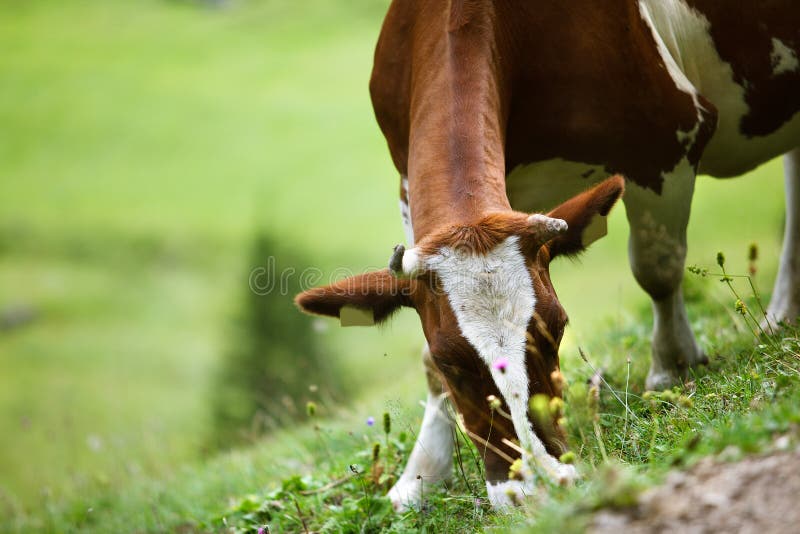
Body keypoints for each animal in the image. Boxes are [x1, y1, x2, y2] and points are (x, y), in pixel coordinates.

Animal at [295, 0, 800, 510]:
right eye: (450, 361)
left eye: (557, 329)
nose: (539, 486)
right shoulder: (409, 192)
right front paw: (420, 475)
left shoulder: (665, 143)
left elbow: (658, 267)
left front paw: (671, 365)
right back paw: (783, 313)